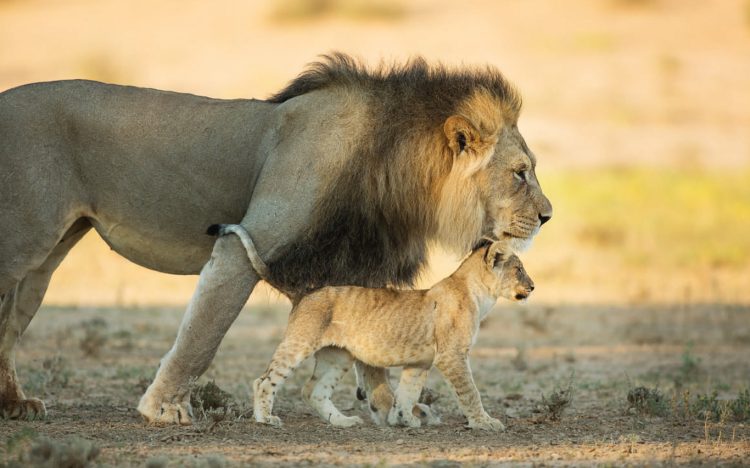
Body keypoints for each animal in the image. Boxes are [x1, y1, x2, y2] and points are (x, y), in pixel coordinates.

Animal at [251, 240, 533, 430]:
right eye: (518, 269)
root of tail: (304, 292)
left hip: (337, 357)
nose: (532, 286)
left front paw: (404, 419)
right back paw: (265, 418)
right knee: (264, 381)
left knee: (312, 390)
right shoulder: (452, 356)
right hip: (300, 342)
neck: (479, 295)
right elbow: (470, 392)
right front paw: (484, 422)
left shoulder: (420, 363)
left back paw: (343, 421)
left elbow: (407, 393)